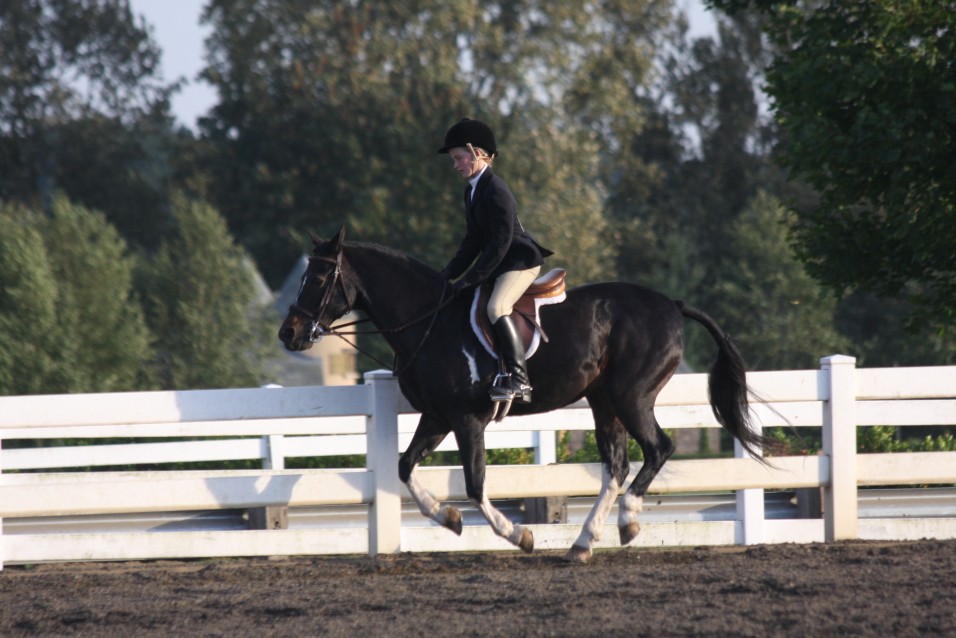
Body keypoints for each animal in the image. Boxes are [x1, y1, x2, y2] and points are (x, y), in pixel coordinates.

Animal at [278, 227, 768, 563]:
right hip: (603, 401)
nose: (289, 334)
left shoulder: (467, 419)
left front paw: (519, 534)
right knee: (617, 465)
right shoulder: (437, 417)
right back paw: (582, 544)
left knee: (658, 449)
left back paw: (628, 522)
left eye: (319, 278)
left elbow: (475, 484)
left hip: (631, 396)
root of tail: (672, 304)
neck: (428, 321)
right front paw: (448, 518)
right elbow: (403, 467)